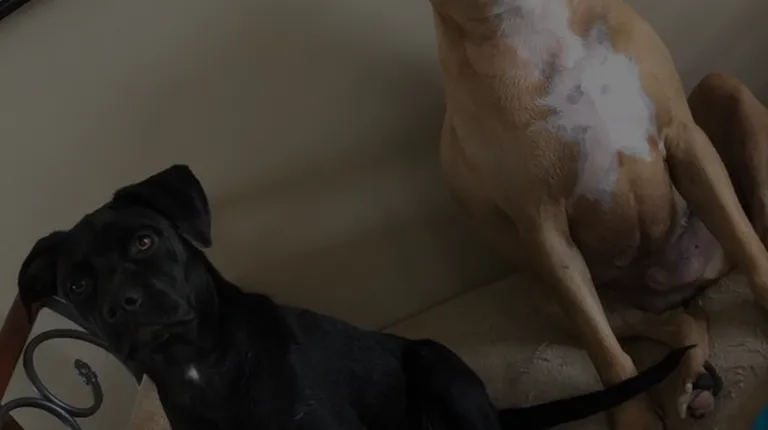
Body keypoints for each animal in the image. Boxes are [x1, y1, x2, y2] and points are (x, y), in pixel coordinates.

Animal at [427, 0, 768, 427]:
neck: (530, 23)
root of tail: (684, 282)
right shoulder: (543, 227)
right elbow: (602, 346)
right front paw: (635, 418)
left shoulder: (685, 139)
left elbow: (746, 243)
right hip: (549, 296)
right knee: (680, 323)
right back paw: (693, 384)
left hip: (721, 86)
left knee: (752, 232)